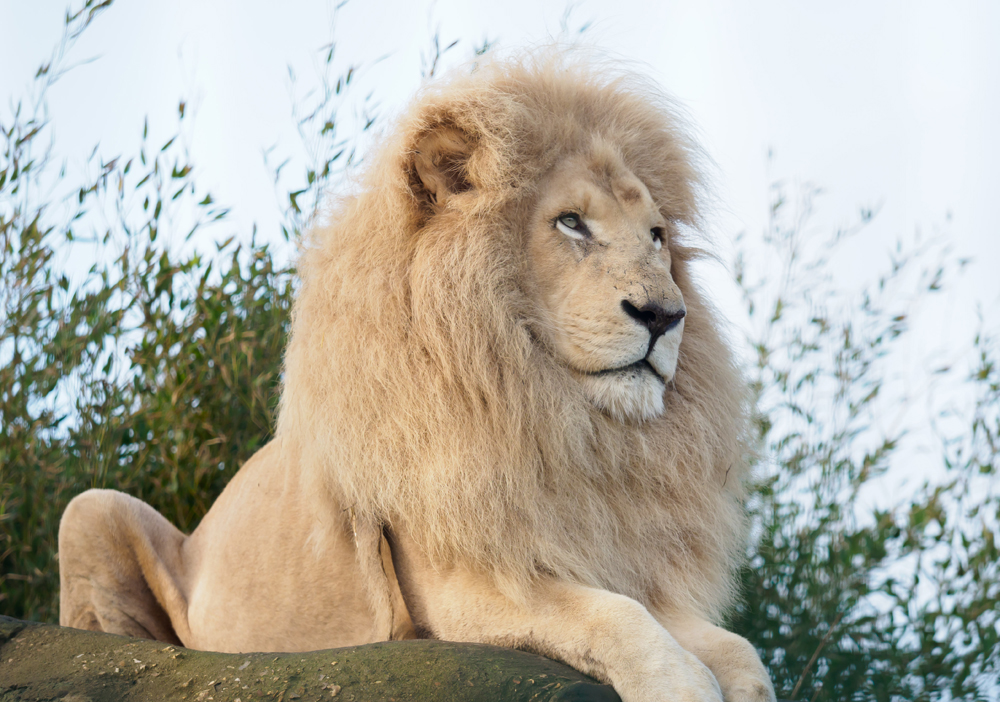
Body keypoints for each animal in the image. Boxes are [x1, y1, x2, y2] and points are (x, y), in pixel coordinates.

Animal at [58, 54, 775, 702]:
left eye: (656, 236)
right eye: (571, 222)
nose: (665, 315)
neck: (554, 417)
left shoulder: (615, 565)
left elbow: (737, 654)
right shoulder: (452, 590)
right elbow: (623, 622)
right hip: (90, 508)